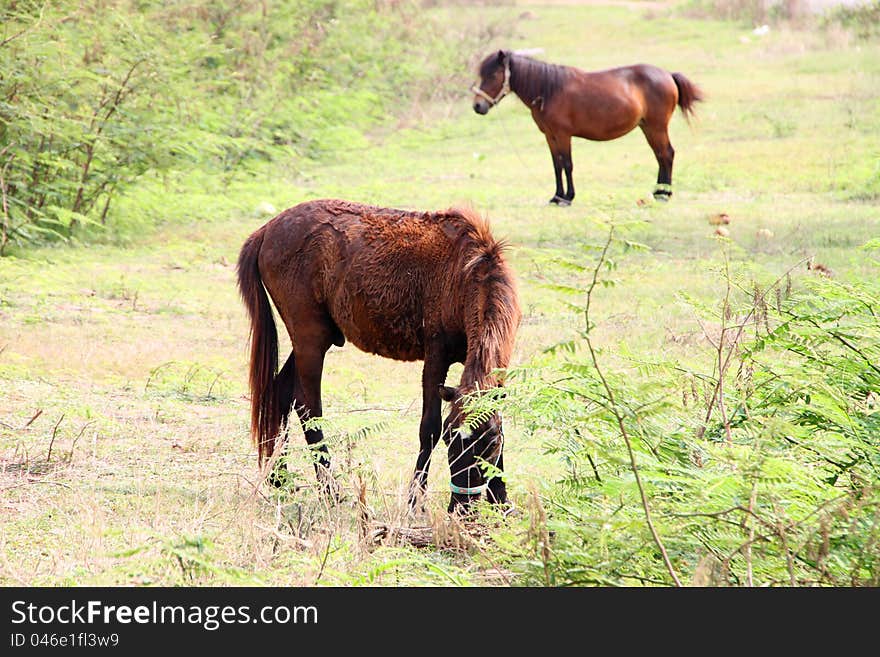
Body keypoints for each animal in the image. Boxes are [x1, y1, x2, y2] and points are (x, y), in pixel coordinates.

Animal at [235, 197, 524, 510]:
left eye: (490, 444)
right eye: (450, 439)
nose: (461, 507)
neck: (466, 273)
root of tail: (266, 231)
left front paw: (502, 501)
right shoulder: (435, 359)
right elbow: (428, 428)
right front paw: (414, 501)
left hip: (314, 340)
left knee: (282, 393)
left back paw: (280, 478)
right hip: (309, 339)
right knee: (308, 407)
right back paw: (329, 491)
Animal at [470, 49, 704, 204]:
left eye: (493, 75)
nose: (478, 106)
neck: (549, 90)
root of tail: (668, 75)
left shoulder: (563, 135)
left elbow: (567, 164)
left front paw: (568, 197)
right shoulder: (550, 136)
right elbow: (556, 165)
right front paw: (557, 196)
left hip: (657, 127)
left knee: (667, 154)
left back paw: (664, 194)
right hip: (647, 127)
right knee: (661, 155)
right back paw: (658, 191)